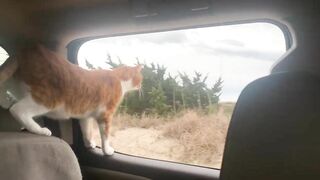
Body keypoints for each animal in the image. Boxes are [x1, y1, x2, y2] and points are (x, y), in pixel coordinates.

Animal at [0, 43, 142, 155]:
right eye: (140, 78)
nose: (141, 85)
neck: (119, 78)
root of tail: (26, 49)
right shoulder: (105, 115)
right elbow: (105, 135)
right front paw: (107, 150)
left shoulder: (85, 116)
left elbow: (87, 131)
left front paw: (90, 143)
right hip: (48, 99)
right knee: (17, 110)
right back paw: (41, 130)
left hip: (16, 83)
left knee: (5, 87)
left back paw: (4, 102)